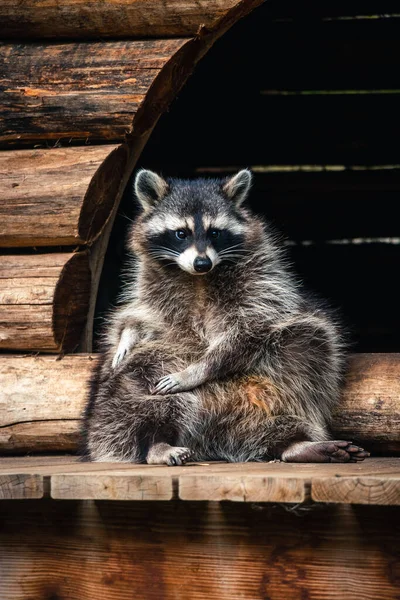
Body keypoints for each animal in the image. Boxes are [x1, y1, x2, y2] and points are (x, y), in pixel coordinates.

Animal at [81, 169, 368, 464]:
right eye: (181, 233)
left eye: (215, 233)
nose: (202, 263)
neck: (197, 277)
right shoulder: (149, 284)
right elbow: (139, 315)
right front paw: (127, 337)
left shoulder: (261, 282)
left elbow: (248, 330)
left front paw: (197, 369)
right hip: (141, 383)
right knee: (130, 390)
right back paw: (155, 443)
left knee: (309, 343)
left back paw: (293, 444)